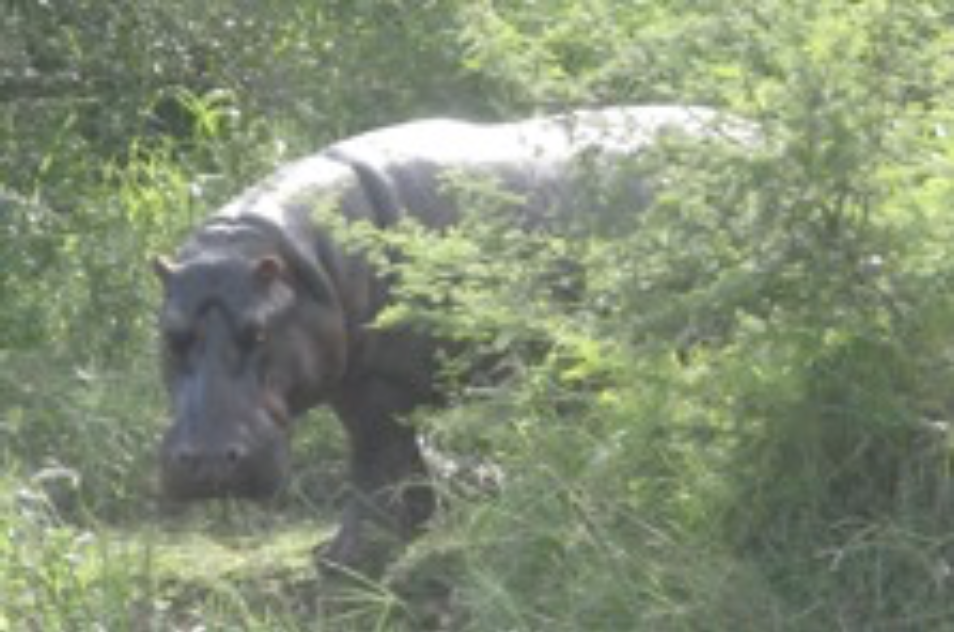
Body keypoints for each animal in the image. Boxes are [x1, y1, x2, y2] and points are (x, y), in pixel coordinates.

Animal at [156, 105, 748, 568]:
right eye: (169, 333)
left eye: (258, 332)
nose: (206, 462)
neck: (306, 263)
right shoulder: (357, 383)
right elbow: (394, 460)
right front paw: (395, 534)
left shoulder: (376, 386)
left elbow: (372, 465)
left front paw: (344, 559)